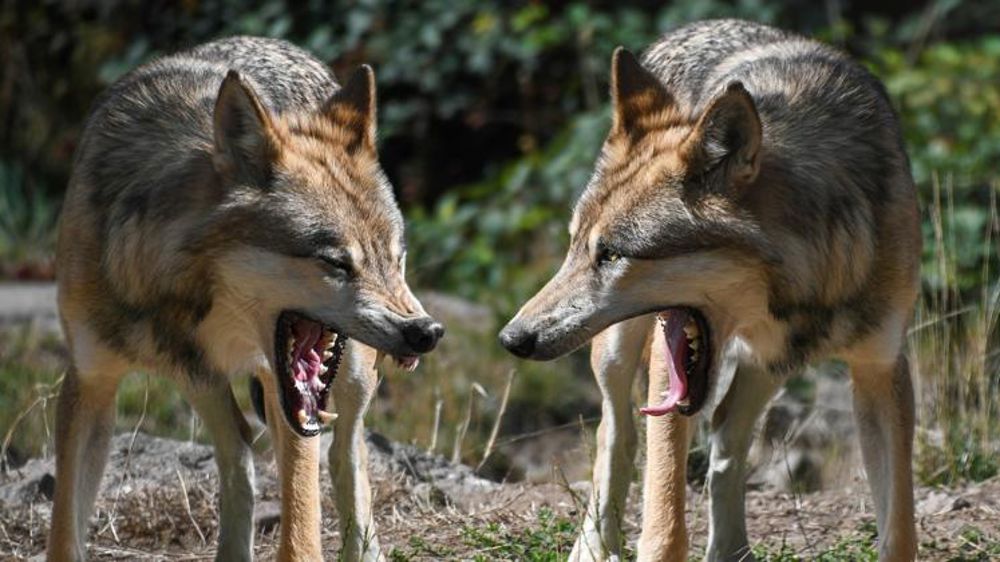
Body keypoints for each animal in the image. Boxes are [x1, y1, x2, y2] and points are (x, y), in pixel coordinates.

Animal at [50, 36, 442, 561]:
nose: (427, 332)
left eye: (395, 259)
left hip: (350, 376)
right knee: (239, 452)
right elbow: (63, 530)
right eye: (336, 263)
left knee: (346, 454)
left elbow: (301, 530)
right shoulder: (90, 382)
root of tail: (283, 46)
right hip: (204, 385)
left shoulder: (287, 394)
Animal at [501, 19, 920, 562]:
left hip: (768, 366)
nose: (512, 338)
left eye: (610, 254)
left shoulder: (881, 368)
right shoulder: (669, 360)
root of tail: (694, 27)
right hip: (619, 352)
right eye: (578, 246)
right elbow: (663, 521)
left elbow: (900, 529)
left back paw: (730, 548)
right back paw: (595, 544)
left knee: (725, 435)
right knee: (617, 433)